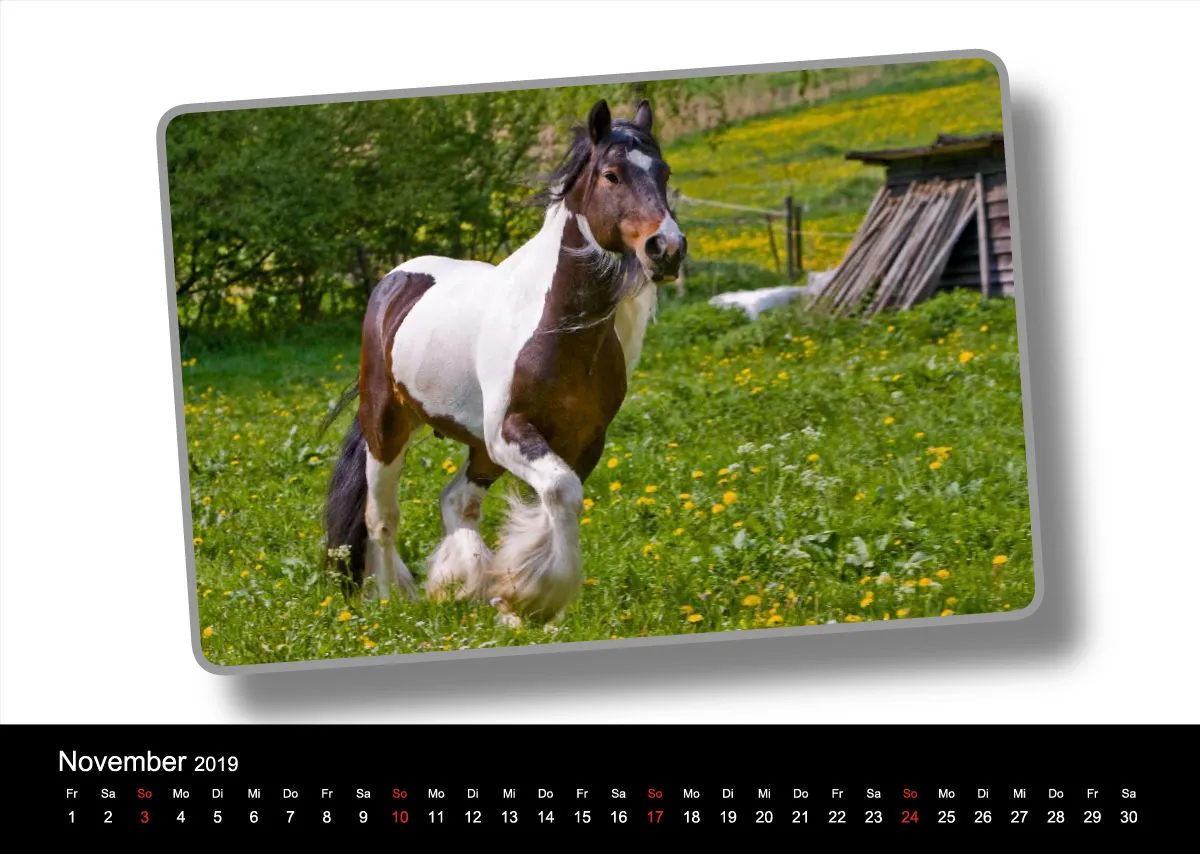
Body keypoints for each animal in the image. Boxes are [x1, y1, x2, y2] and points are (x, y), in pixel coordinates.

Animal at [324, 99, 686, 621]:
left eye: (664, 171)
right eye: (612, 174)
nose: (668, 249)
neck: (558, 327)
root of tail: (396, 281)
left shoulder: (582, 440)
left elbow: (555, 501)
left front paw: (520, 598)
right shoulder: (510, 432)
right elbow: (560, 492)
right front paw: (538, 595)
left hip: (478, 447)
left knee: (457, 501)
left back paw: (464, 585)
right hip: (387, 425)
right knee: (381, 516)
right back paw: (395, 599)